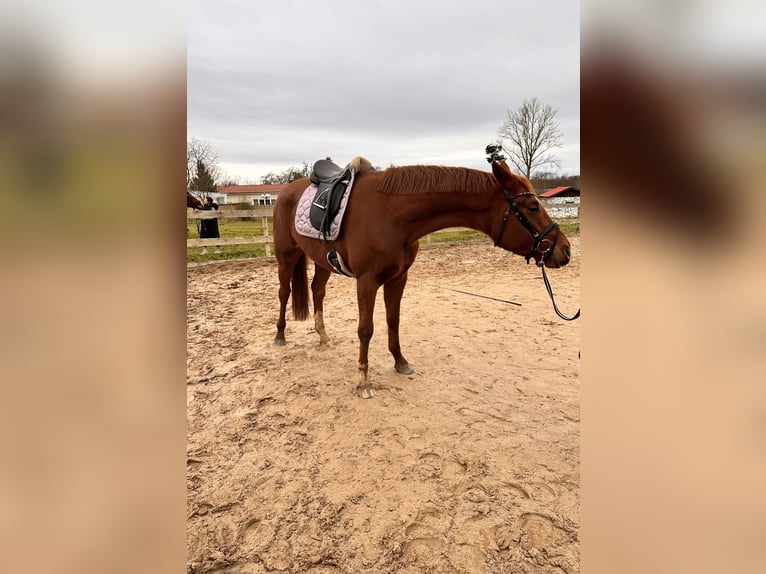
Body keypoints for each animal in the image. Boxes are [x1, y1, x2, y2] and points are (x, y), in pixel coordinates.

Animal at [272, 160, 572, 398]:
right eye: (532, 207)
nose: (565, 249)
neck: (391, 214)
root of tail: (286, 190)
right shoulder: (366, 281)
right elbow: (365, 329)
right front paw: (363, 381)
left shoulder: (398, 278)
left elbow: (393, 320)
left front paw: (400, 361)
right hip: (286, 256)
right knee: (284, 293)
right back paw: (280, 336)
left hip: (321, 260)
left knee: (317, 290)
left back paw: (323, 337)